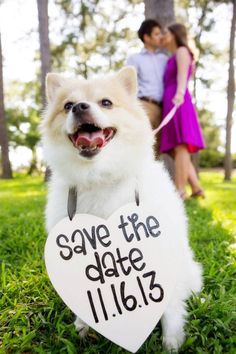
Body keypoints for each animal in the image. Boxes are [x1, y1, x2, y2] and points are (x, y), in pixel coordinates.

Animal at [41, 66, 203, 352]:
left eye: (106, 102)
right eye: (68, 105)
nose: (79, 107)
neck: (100, 177)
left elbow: (171, 306)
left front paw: (171, 339)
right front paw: (83, 326)